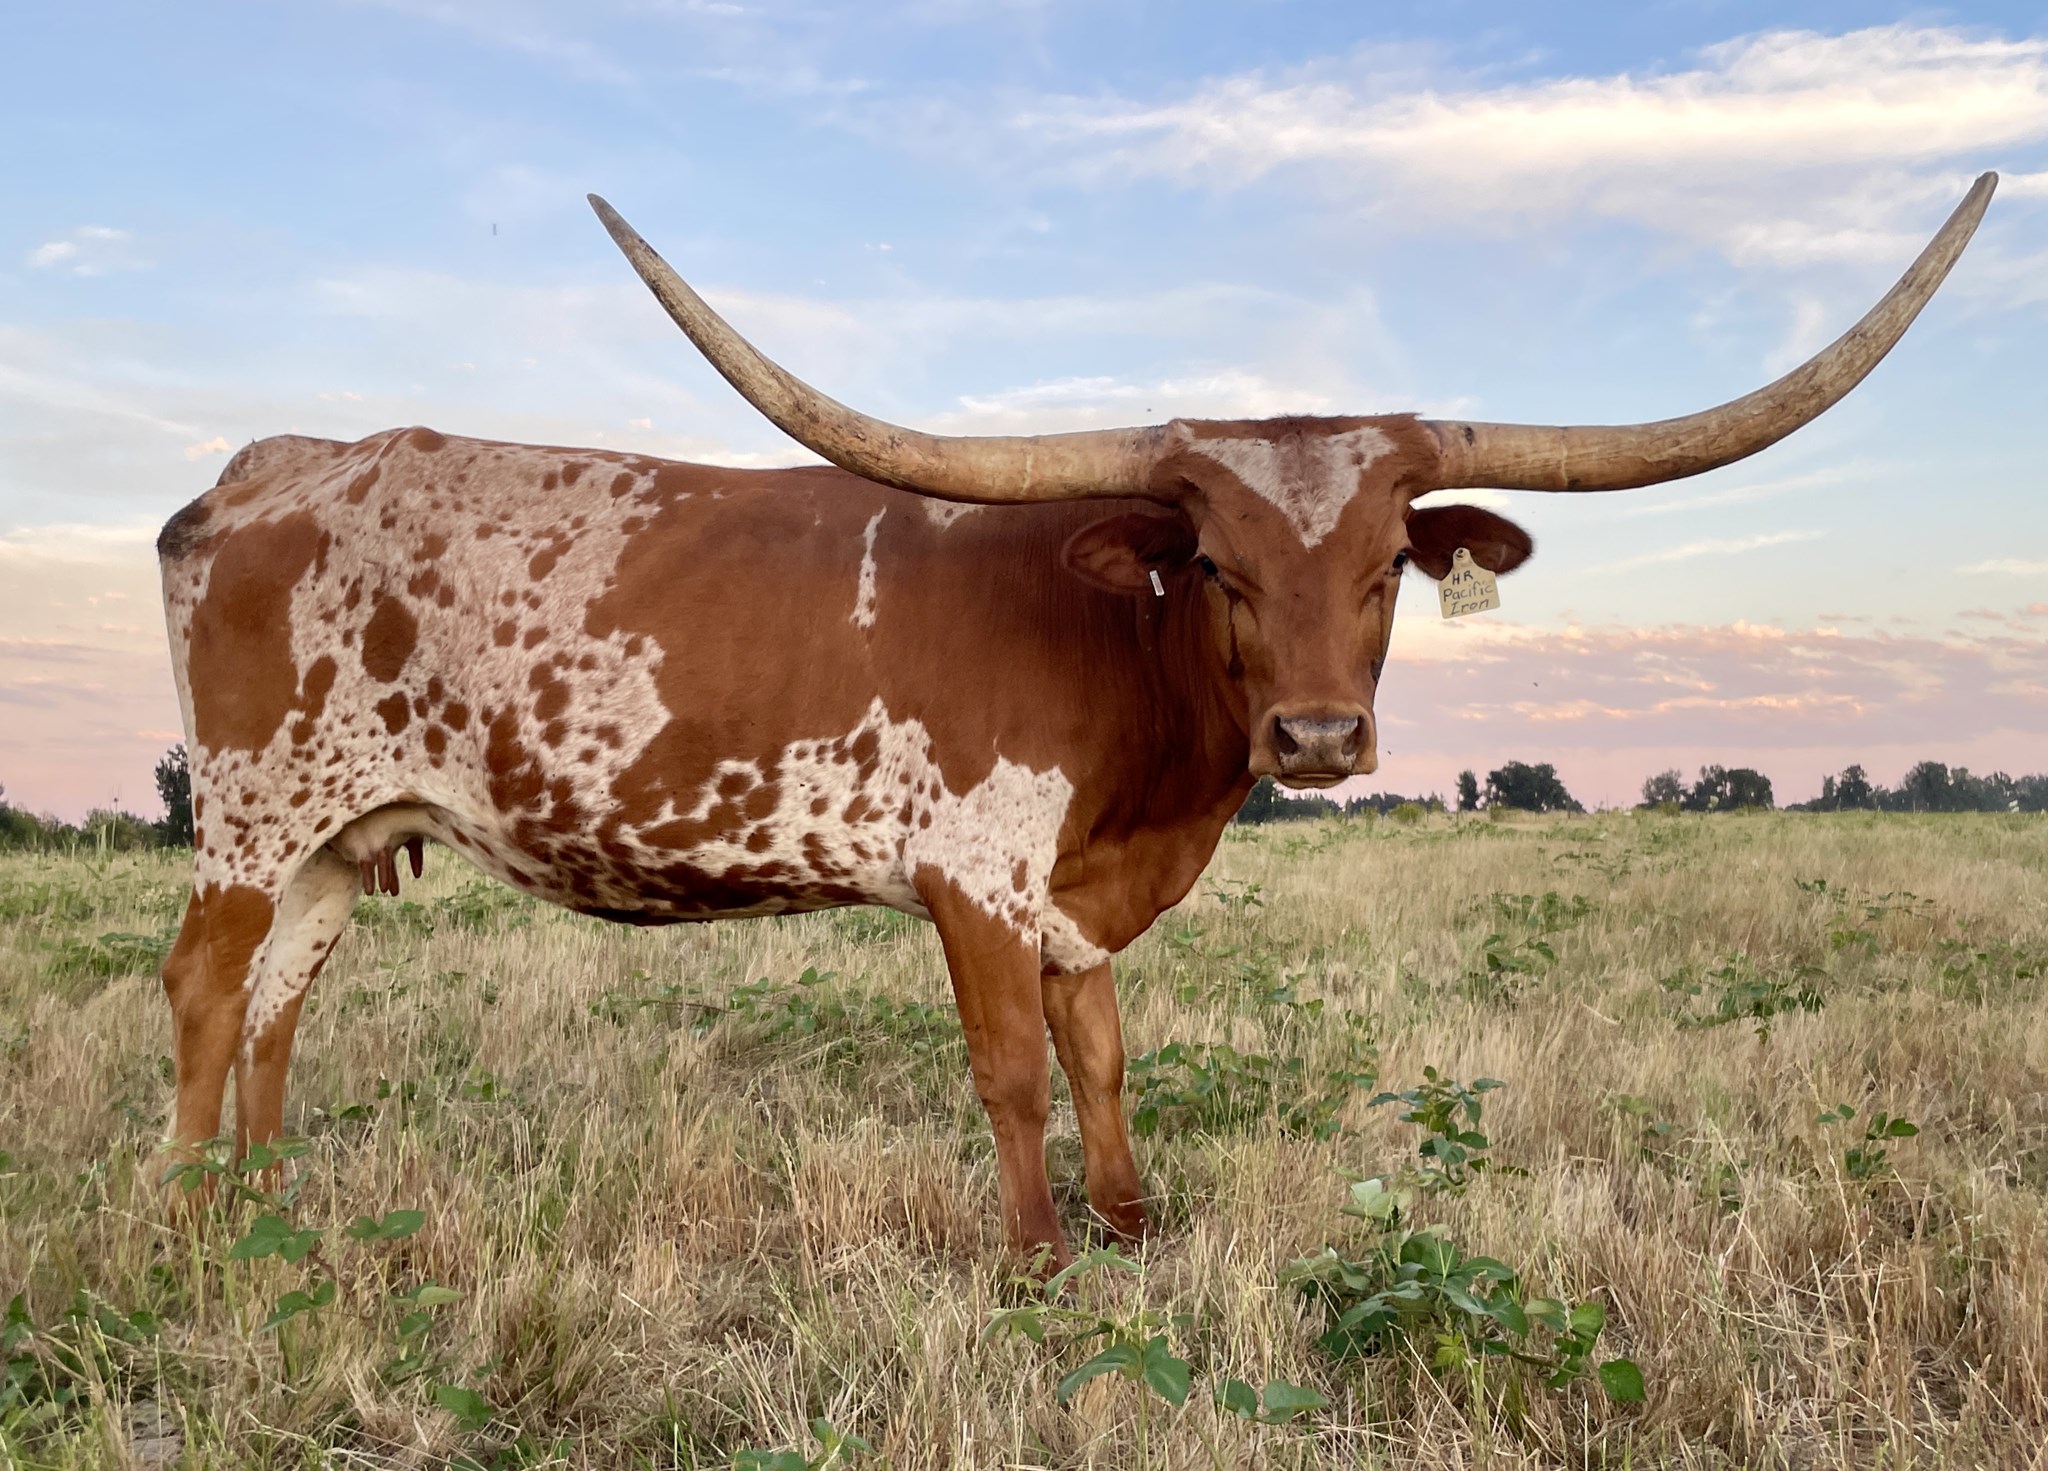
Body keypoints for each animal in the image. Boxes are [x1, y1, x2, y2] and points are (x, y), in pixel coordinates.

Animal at [156, 175, 1995, 1265]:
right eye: (1218, 564)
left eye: (1387, 567)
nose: (1317, 741)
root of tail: (265, 471)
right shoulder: (970, 876)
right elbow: (1008, 1066)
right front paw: (1036, 1256)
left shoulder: (1078, 894)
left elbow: (1100, 1045)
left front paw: (1128, 1215)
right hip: (252, 813)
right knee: (201, 986)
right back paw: (182, 1218)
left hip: (343, 836)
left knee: (281, 1004)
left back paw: (273, 1212)